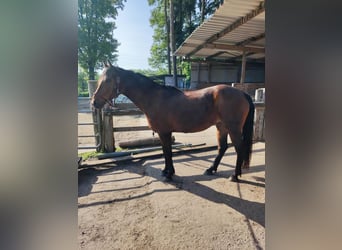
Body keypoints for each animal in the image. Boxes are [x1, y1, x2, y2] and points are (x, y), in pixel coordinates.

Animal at [91, 62, 254, 180]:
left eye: (107, 80)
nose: (94, 102)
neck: (154, 98)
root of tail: (242, 93)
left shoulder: (164, 132)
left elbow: (168, 152)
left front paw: (169, 174)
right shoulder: (163, 133)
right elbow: (165, 151)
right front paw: (166, 171)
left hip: (233, 128)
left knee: (239, 148)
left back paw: (235, 175)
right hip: (221, 127)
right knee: (222, 148)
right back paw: (211, 169)